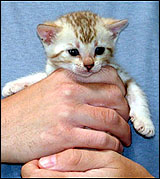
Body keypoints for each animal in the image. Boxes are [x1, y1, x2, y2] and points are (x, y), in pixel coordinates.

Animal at [1, 10, 155, 137]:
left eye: (99, 50)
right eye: (73, 51)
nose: (89, 65)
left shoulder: (122, 74)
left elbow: (136, 92)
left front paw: (145, 121)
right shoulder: (51, 73)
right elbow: (39, 76)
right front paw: (14, 85)